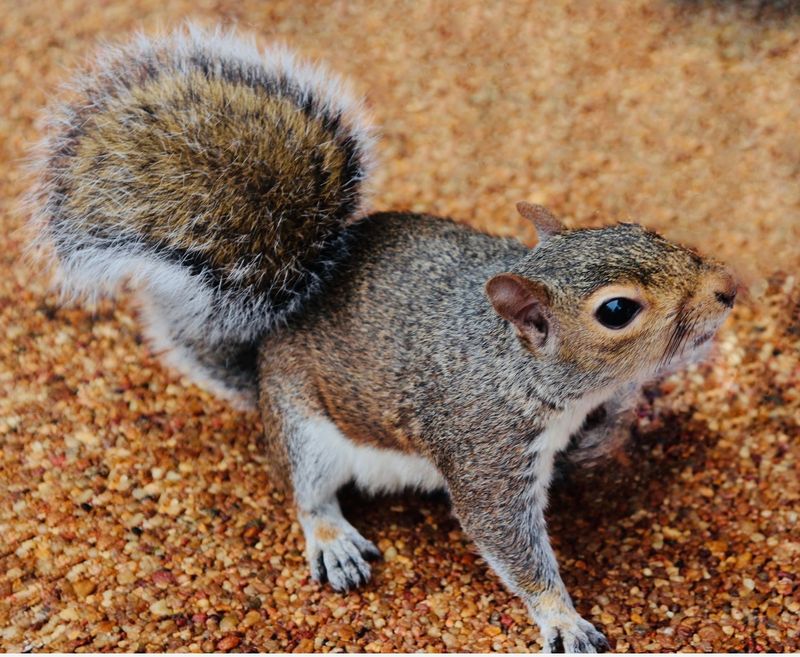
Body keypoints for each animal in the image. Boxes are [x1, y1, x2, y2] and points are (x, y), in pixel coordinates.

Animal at [29, 25, 737, 653]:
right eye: (617, 311)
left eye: (641, 228)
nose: (728, 287)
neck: (521, 369)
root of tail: (266, 349)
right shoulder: (485, 451)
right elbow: (505, 537)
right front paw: (560, 617)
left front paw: (631, 415)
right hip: (304, 429)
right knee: (307, 491)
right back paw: (331, 539)